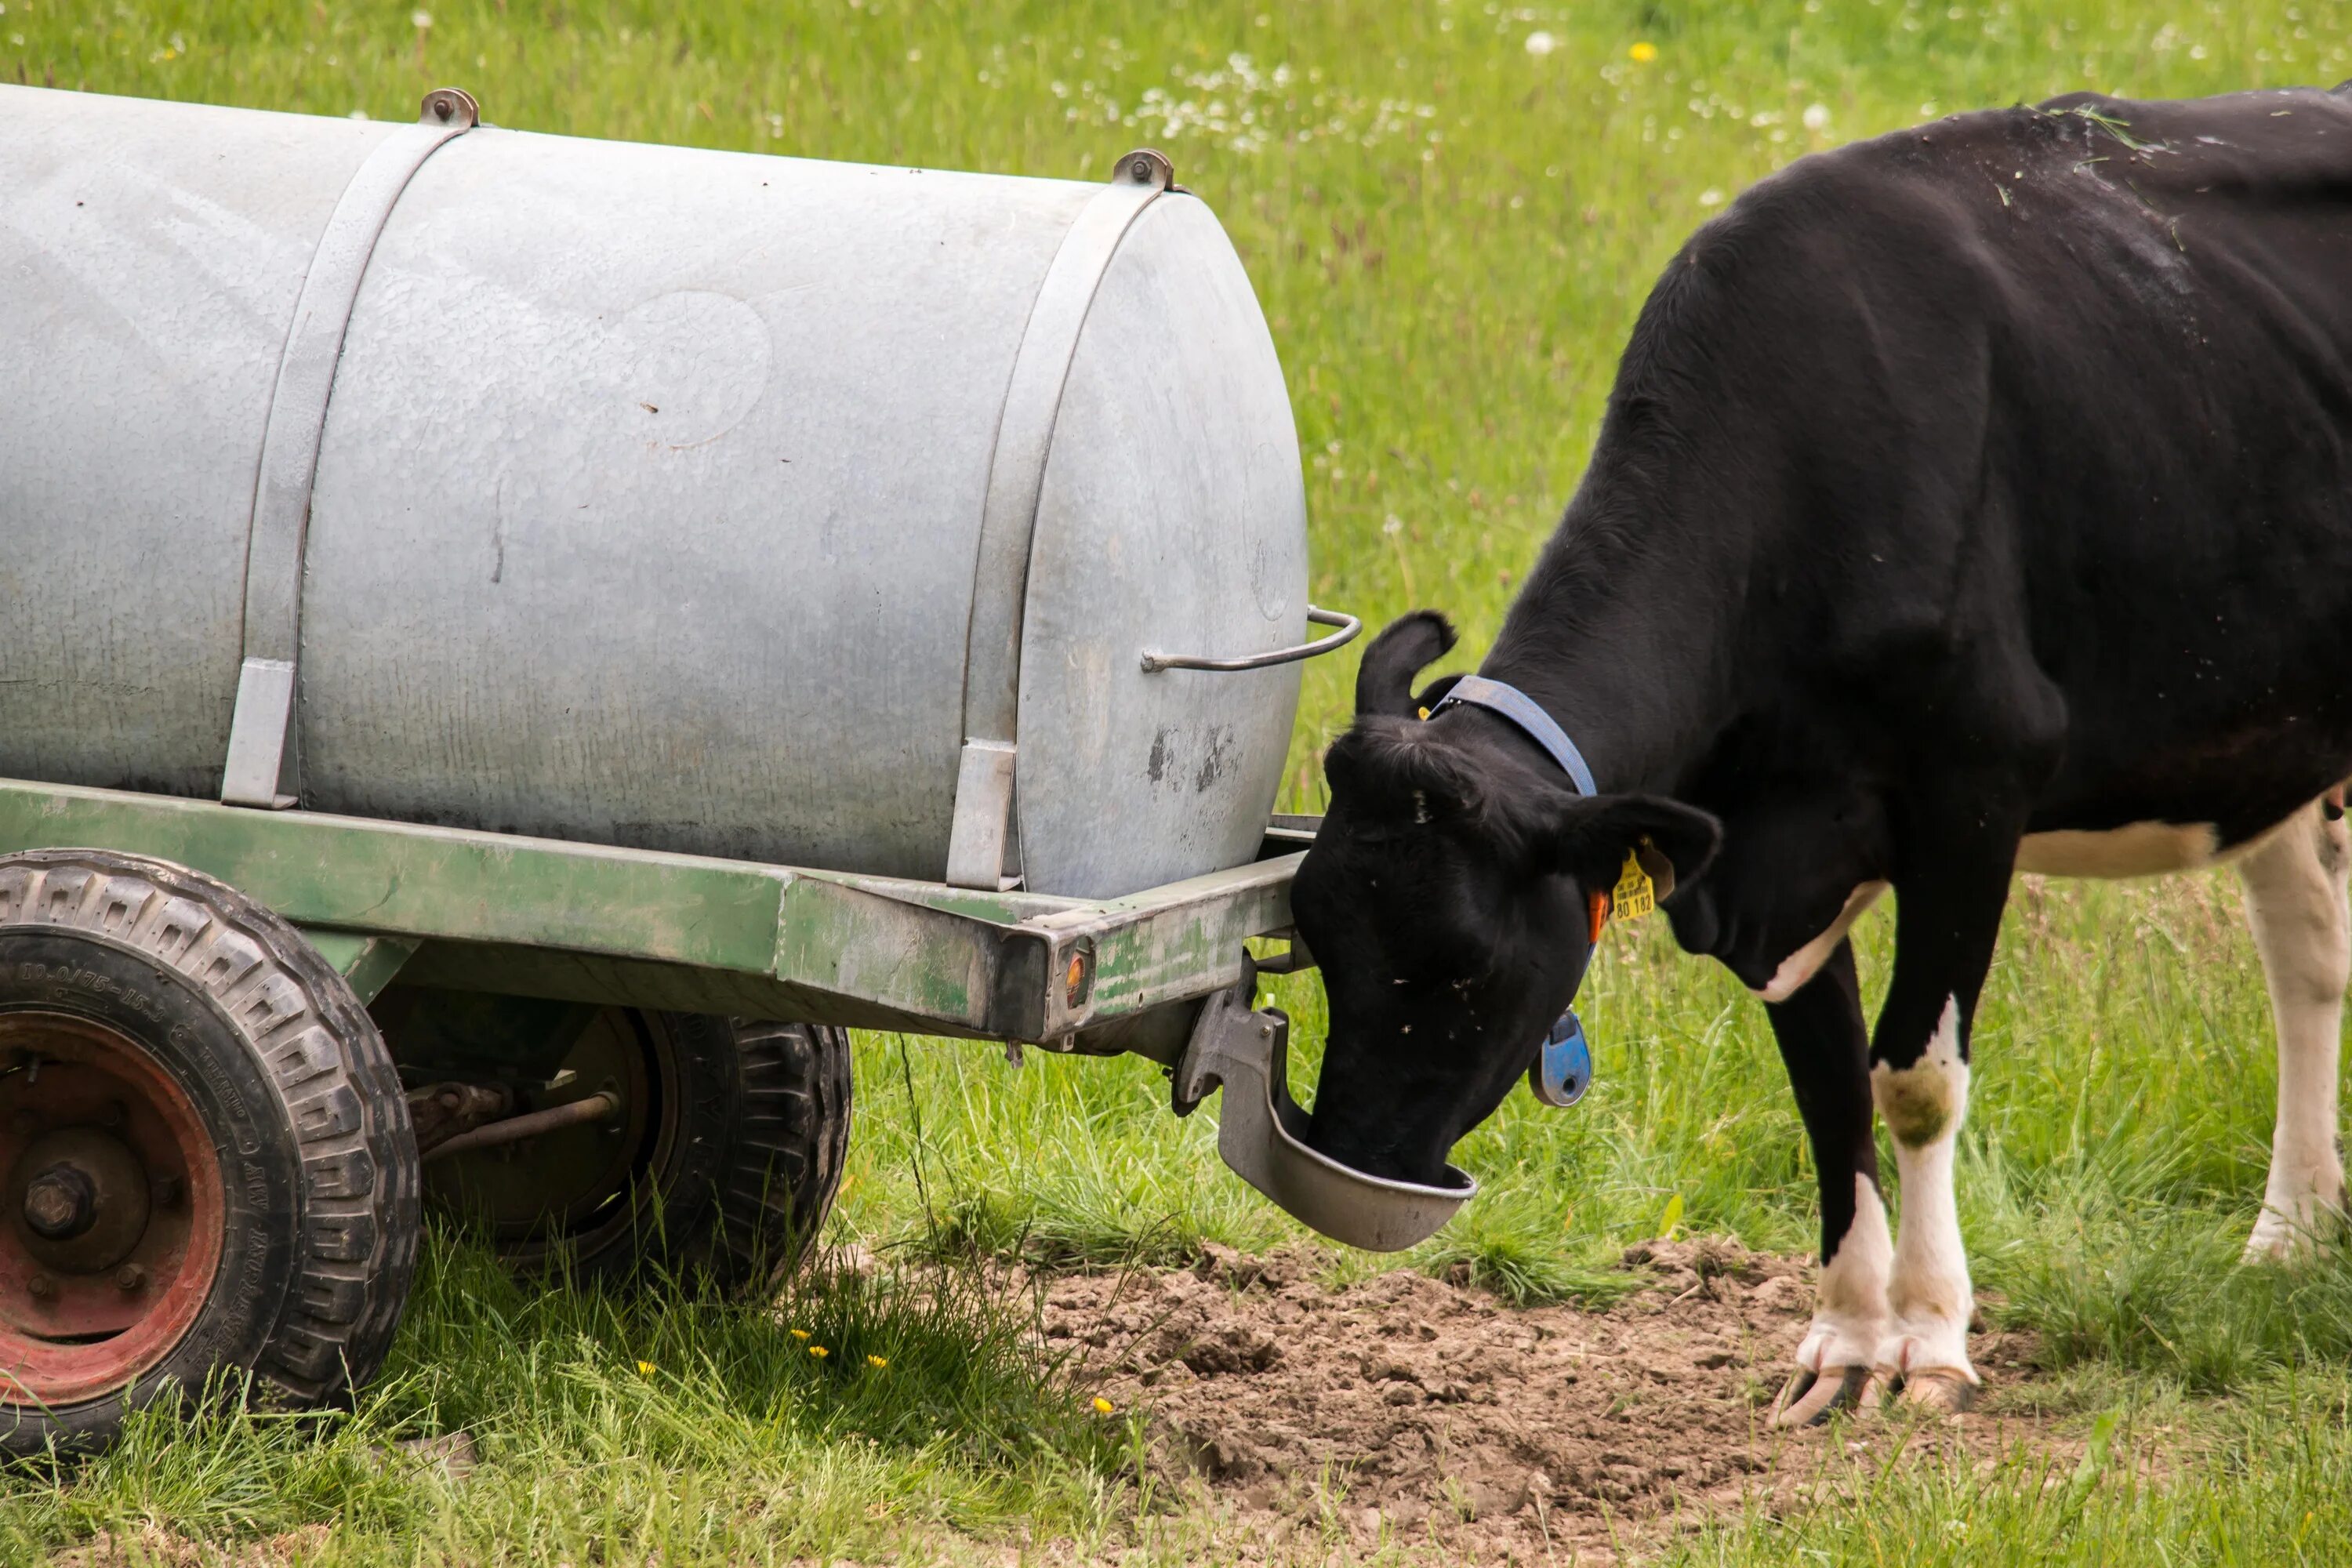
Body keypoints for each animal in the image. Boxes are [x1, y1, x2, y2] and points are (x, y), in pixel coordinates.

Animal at [1289, 85, 2352, 1420]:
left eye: (1469, 966)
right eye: (1311, 934)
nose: (1347, 1163)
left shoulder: (1974, 791)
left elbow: (1914, 1078)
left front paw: (1935, 1342)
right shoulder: (1760, 854)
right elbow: (1829, 1084)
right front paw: (1846, 1346)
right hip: (2277, 736)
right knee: (2307, 957)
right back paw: (2291, 1236)